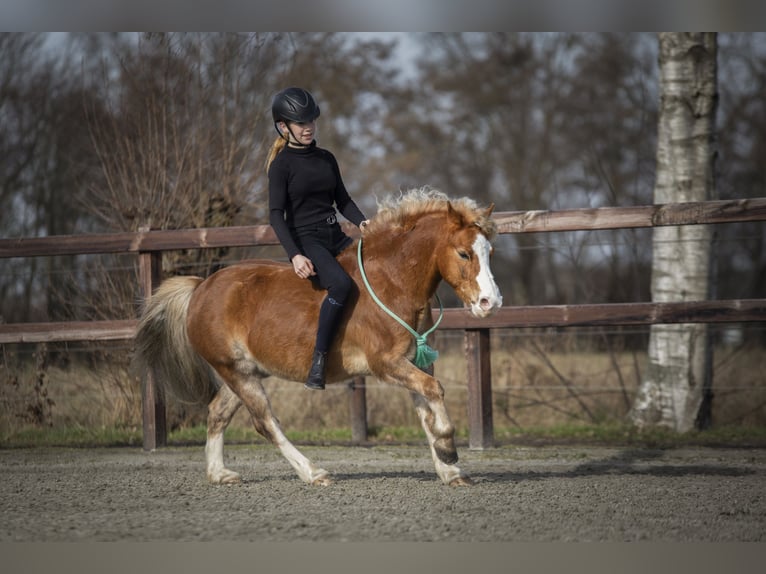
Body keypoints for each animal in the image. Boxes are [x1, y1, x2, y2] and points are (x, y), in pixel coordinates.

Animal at [133, 187, 503, 486]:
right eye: (463, 253)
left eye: (489, 252)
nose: (491, 303)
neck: (393, 282)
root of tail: (201, 287)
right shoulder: (387, 364)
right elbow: (434, 392)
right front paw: (449, 449)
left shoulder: (413, 362)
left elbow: (427, 408)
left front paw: (449, 470)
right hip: (236, 372)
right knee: (265, 423)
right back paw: (313, 472)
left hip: (242, 372)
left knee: (217, 413)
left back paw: (219, 474)